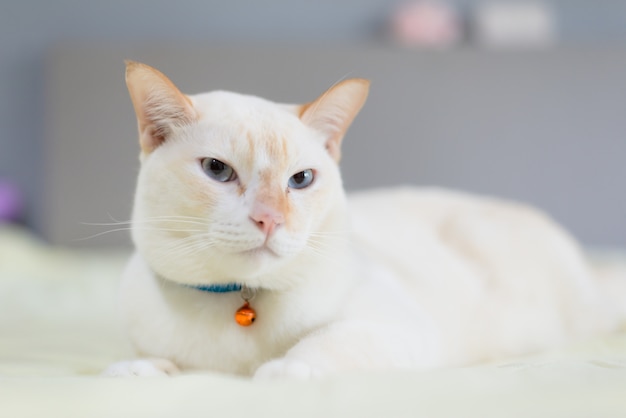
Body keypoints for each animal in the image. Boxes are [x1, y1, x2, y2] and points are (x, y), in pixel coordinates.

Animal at [105, 61, 620, 378]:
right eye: (217, 170)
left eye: (301, 180)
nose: (270, 219)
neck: (239, 306)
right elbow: (148, 360)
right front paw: (140, 371)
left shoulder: (399, 329)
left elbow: (329, 339)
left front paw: (285, 368)